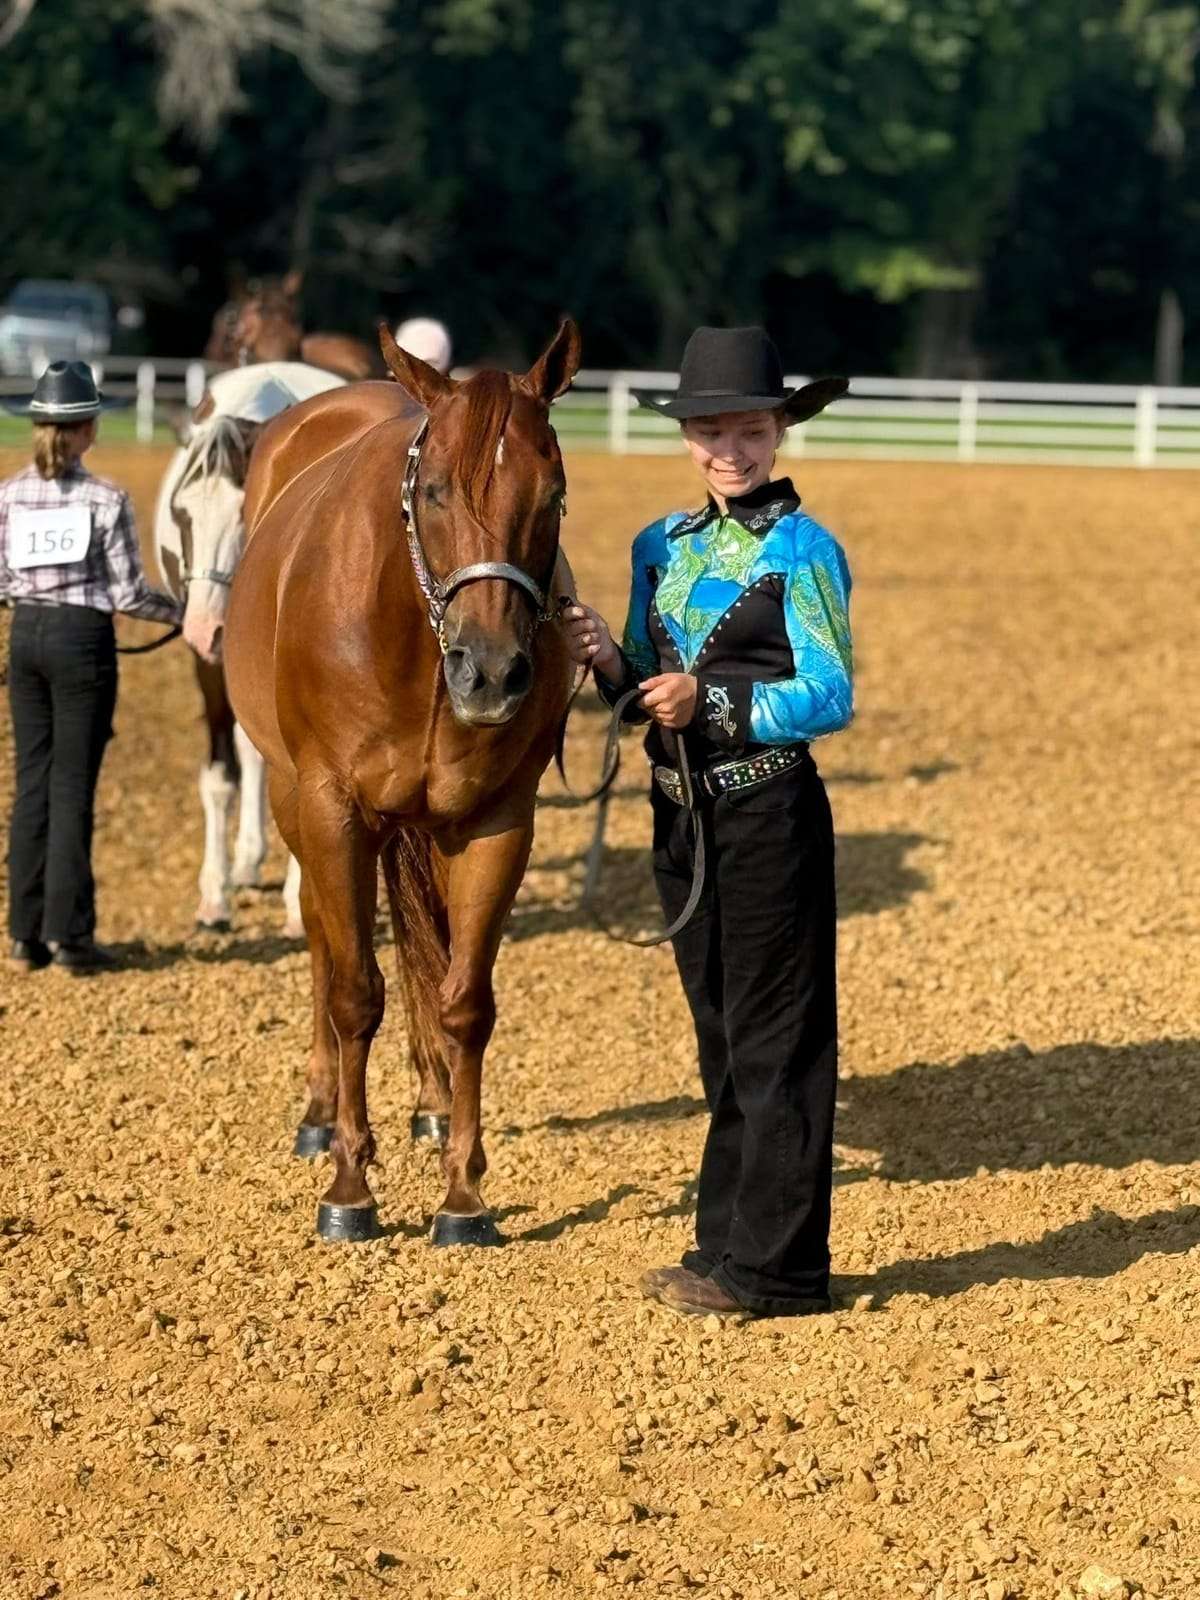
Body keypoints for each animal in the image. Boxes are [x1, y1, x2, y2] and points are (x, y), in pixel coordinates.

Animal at [154, 361, 346, 932]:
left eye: (246, 516)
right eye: (182, 514)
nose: (206, 628)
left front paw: (299, 903)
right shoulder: (209, 669)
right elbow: (222, 777)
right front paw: (214, 893)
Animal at [224, 318, 581, 1244]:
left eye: (552, 492)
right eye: (435, 492)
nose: (491, 673)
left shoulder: (496, 822)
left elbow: (464, 1000)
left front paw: (463, 1195)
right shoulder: (333, 811)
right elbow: (355, 992)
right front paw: (350, 1185)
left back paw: (428, 1101)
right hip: (294, 801)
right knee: (325, 944)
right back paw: (322, 1117)